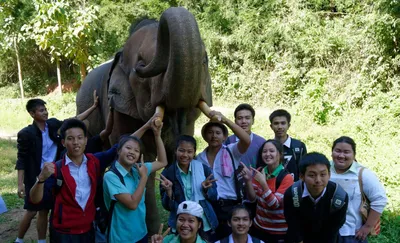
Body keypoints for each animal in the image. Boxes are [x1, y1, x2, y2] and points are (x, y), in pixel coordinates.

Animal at [75, 7, 212, 235]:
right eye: (140, 64)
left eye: (204, 60)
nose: (139, 67)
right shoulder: (119, 110)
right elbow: (144, 161)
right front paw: (153, 232)